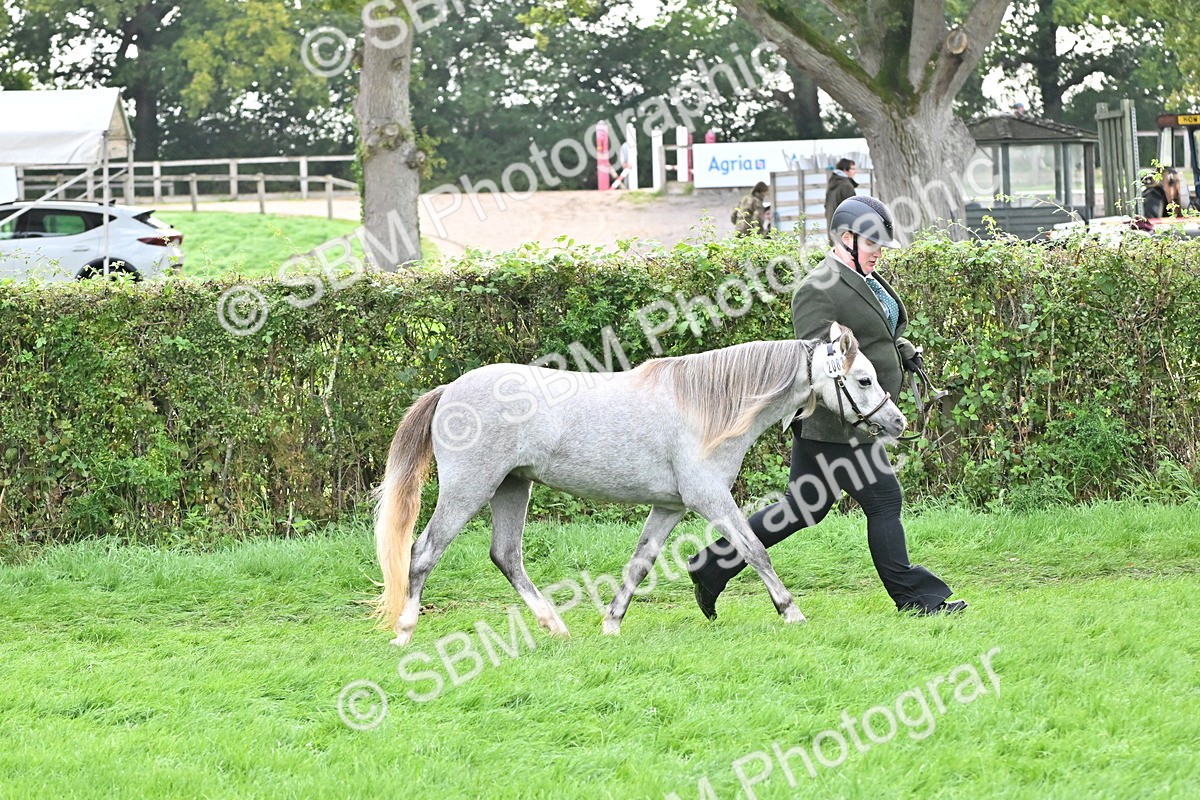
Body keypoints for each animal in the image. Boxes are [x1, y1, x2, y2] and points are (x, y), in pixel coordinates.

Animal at [373, 322, 906, 646]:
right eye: (863, 379)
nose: (897, 422)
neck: (708, 407)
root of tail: (450, 391)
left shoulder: (670, 507)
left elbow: (640, 563)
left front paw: (611, 623)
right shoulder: (710, 499)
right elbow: (756, 550)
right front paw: (791, 612)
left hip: (512, 488)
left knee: (506, 556)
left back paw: (555, 626)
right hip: (469, 490)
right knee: (423, 553)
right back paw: (404, 631)